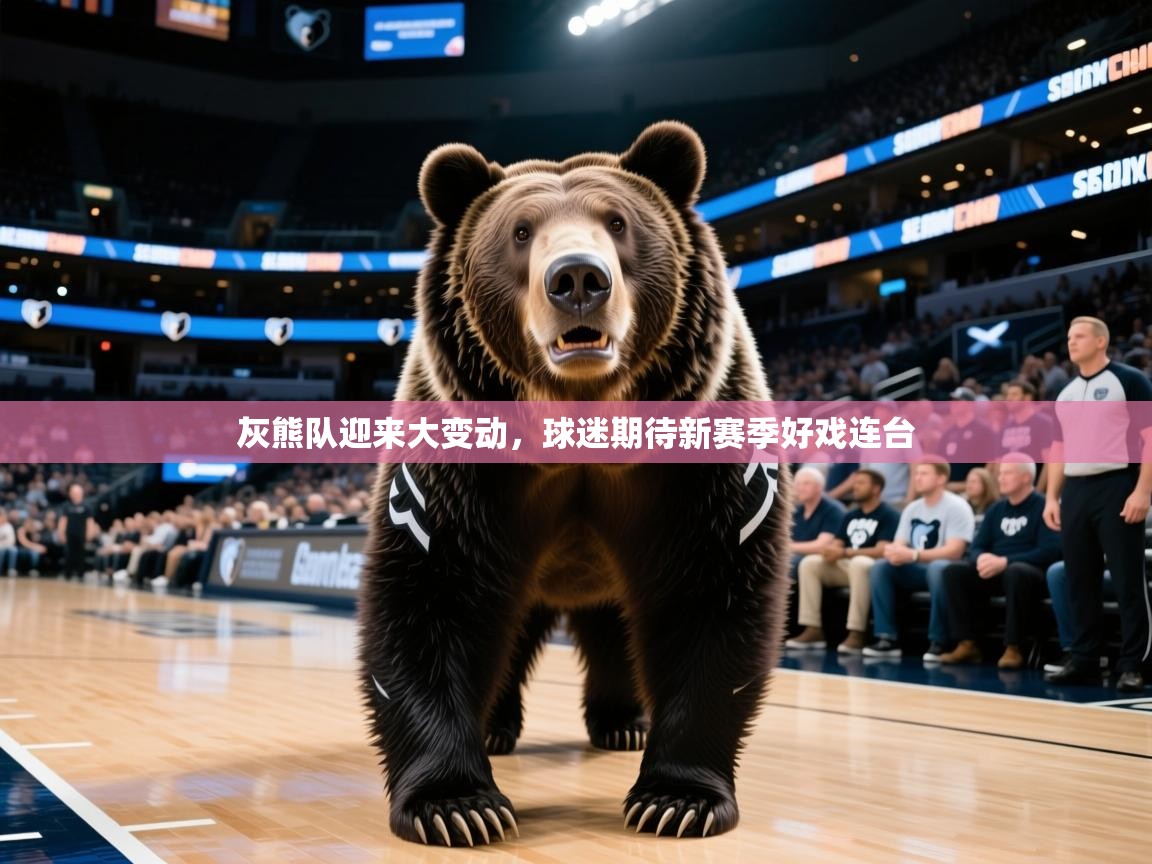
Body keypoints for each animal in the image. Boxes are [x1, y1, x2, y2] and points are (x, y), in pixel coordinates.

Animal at [358, 121, 792, 847]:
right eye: (520, 231)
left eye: (617, 222)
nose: (578, 278)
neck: (581, 423)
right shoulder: (464, 468)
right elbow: (430, 593)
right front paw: (457, 805)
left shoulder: (699, 460)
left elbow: (710, 592)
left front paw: (677, 798)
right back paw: (498, 726)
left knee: (614, 627)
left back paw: (623, 721)